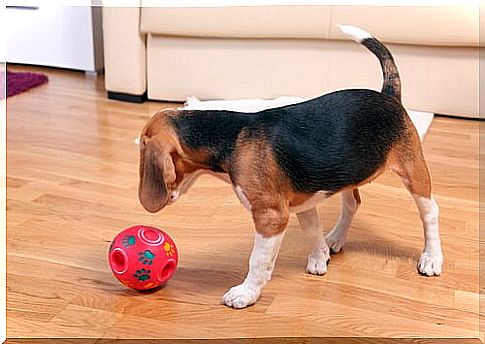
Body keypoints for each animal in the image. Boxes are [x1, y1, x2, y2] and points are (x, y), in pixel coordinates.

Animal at [136, 24, 442, 310]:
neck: (230, 137)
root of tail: (388, 95)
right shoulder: (304, 203)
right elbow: (312, 230)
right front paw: (320, 257)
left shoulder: (271, 216)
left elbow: (258, 260)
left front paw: (246, 293)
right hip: (346, 171)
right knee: (352, 203)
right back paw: (336, 238)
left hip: (413, 170)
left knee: (429, 213)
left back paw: (431, 258)